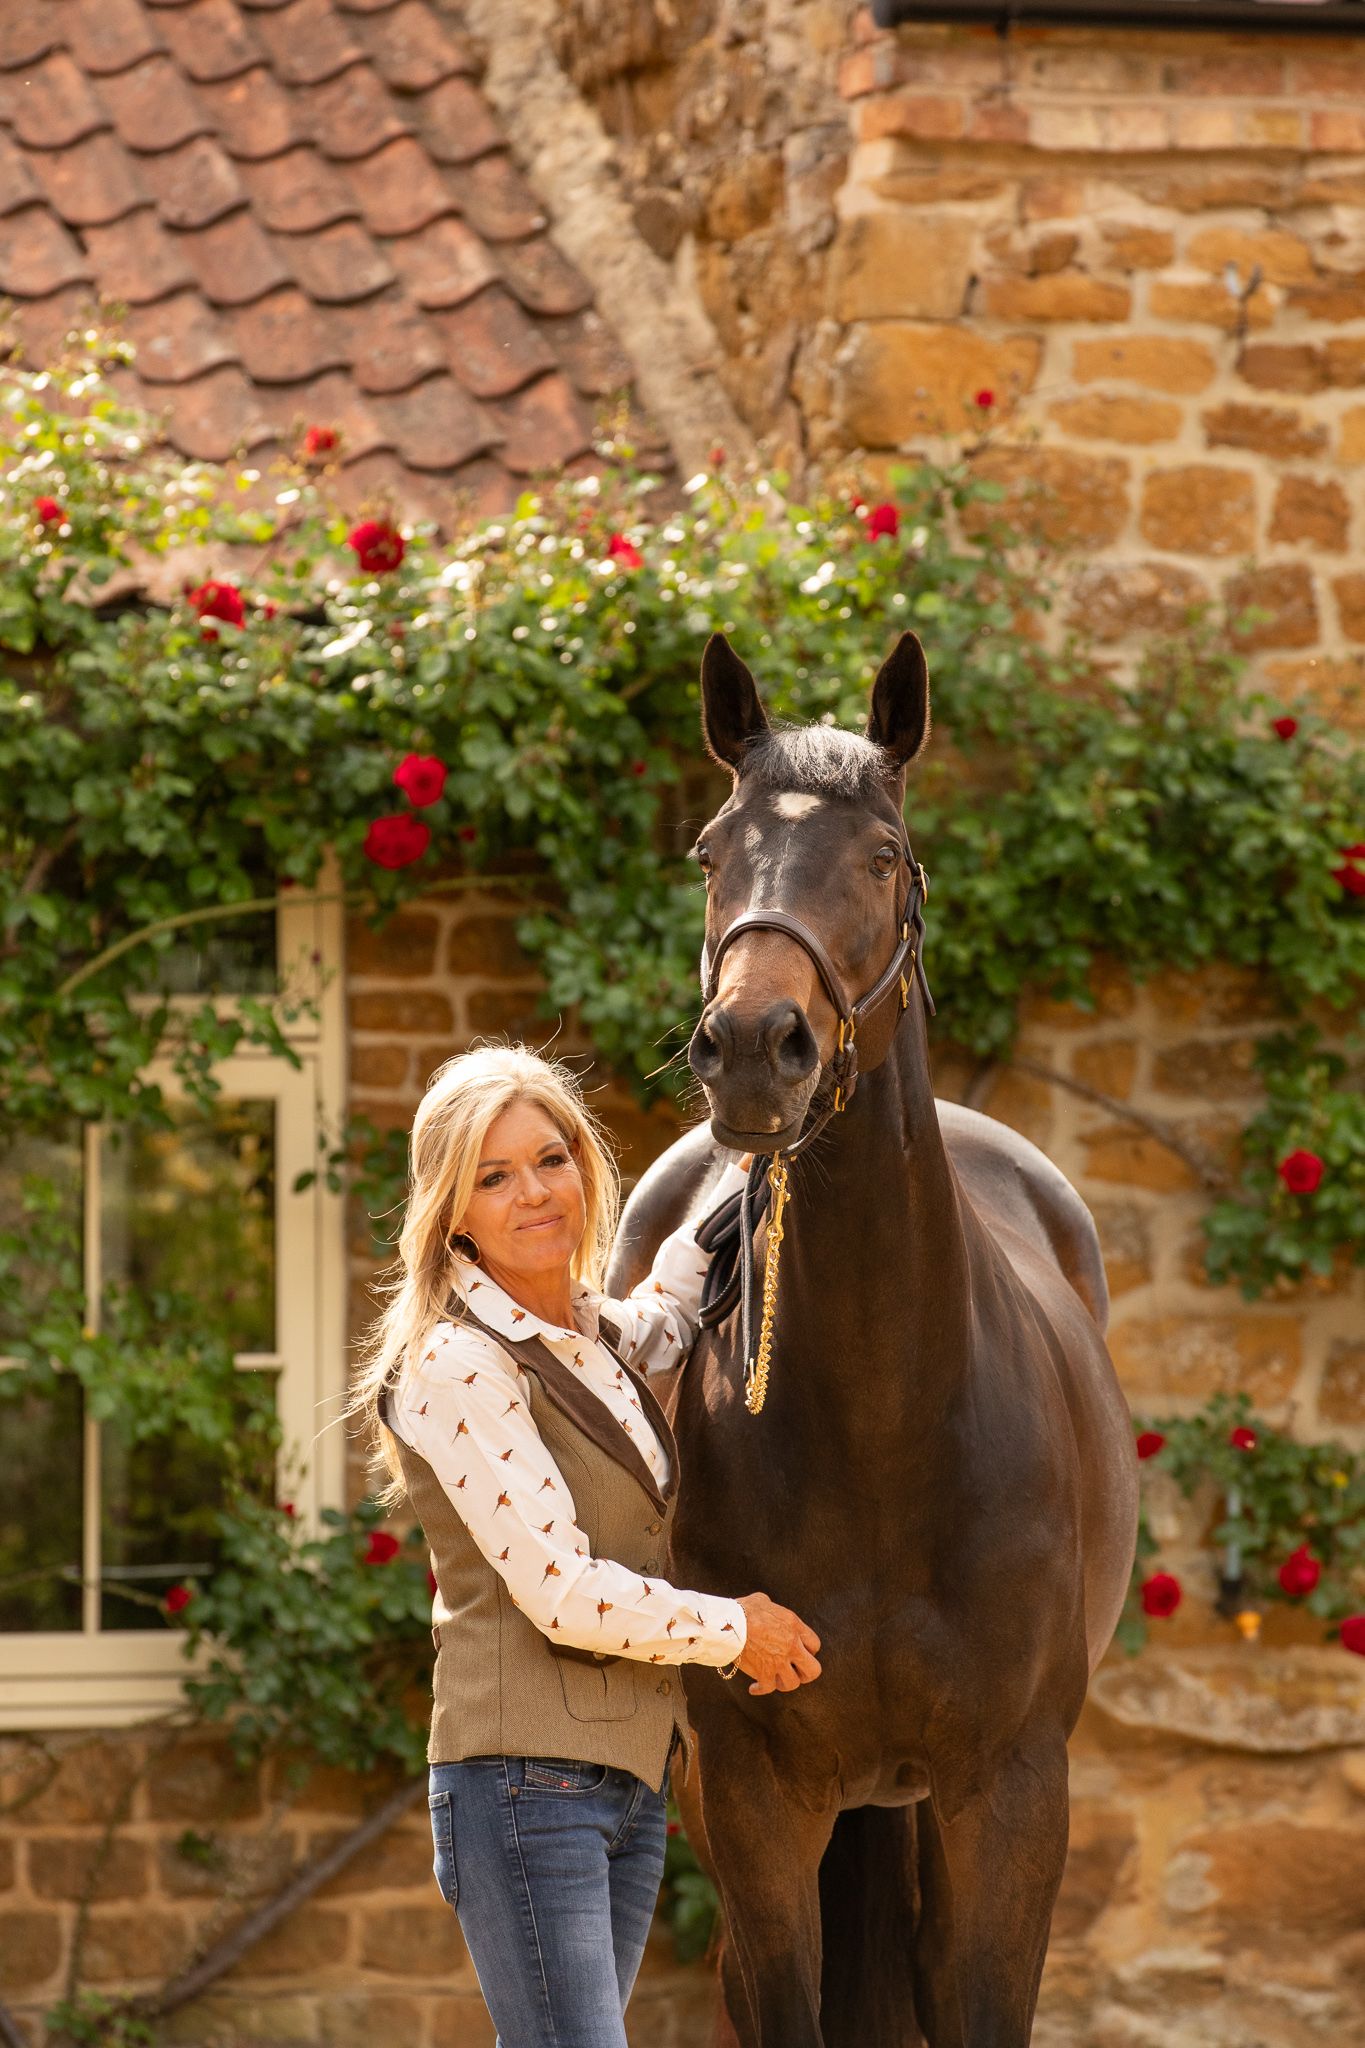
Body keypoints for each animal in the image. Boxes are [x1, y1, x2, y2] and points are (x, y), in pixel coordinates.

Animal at [605, 630, 1140, 2048]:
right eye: (711, 851)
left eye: (886, 854)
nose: (753, 1046)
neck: (889, 1422)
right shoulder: (753, 1798)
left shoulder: (1010, 1793)